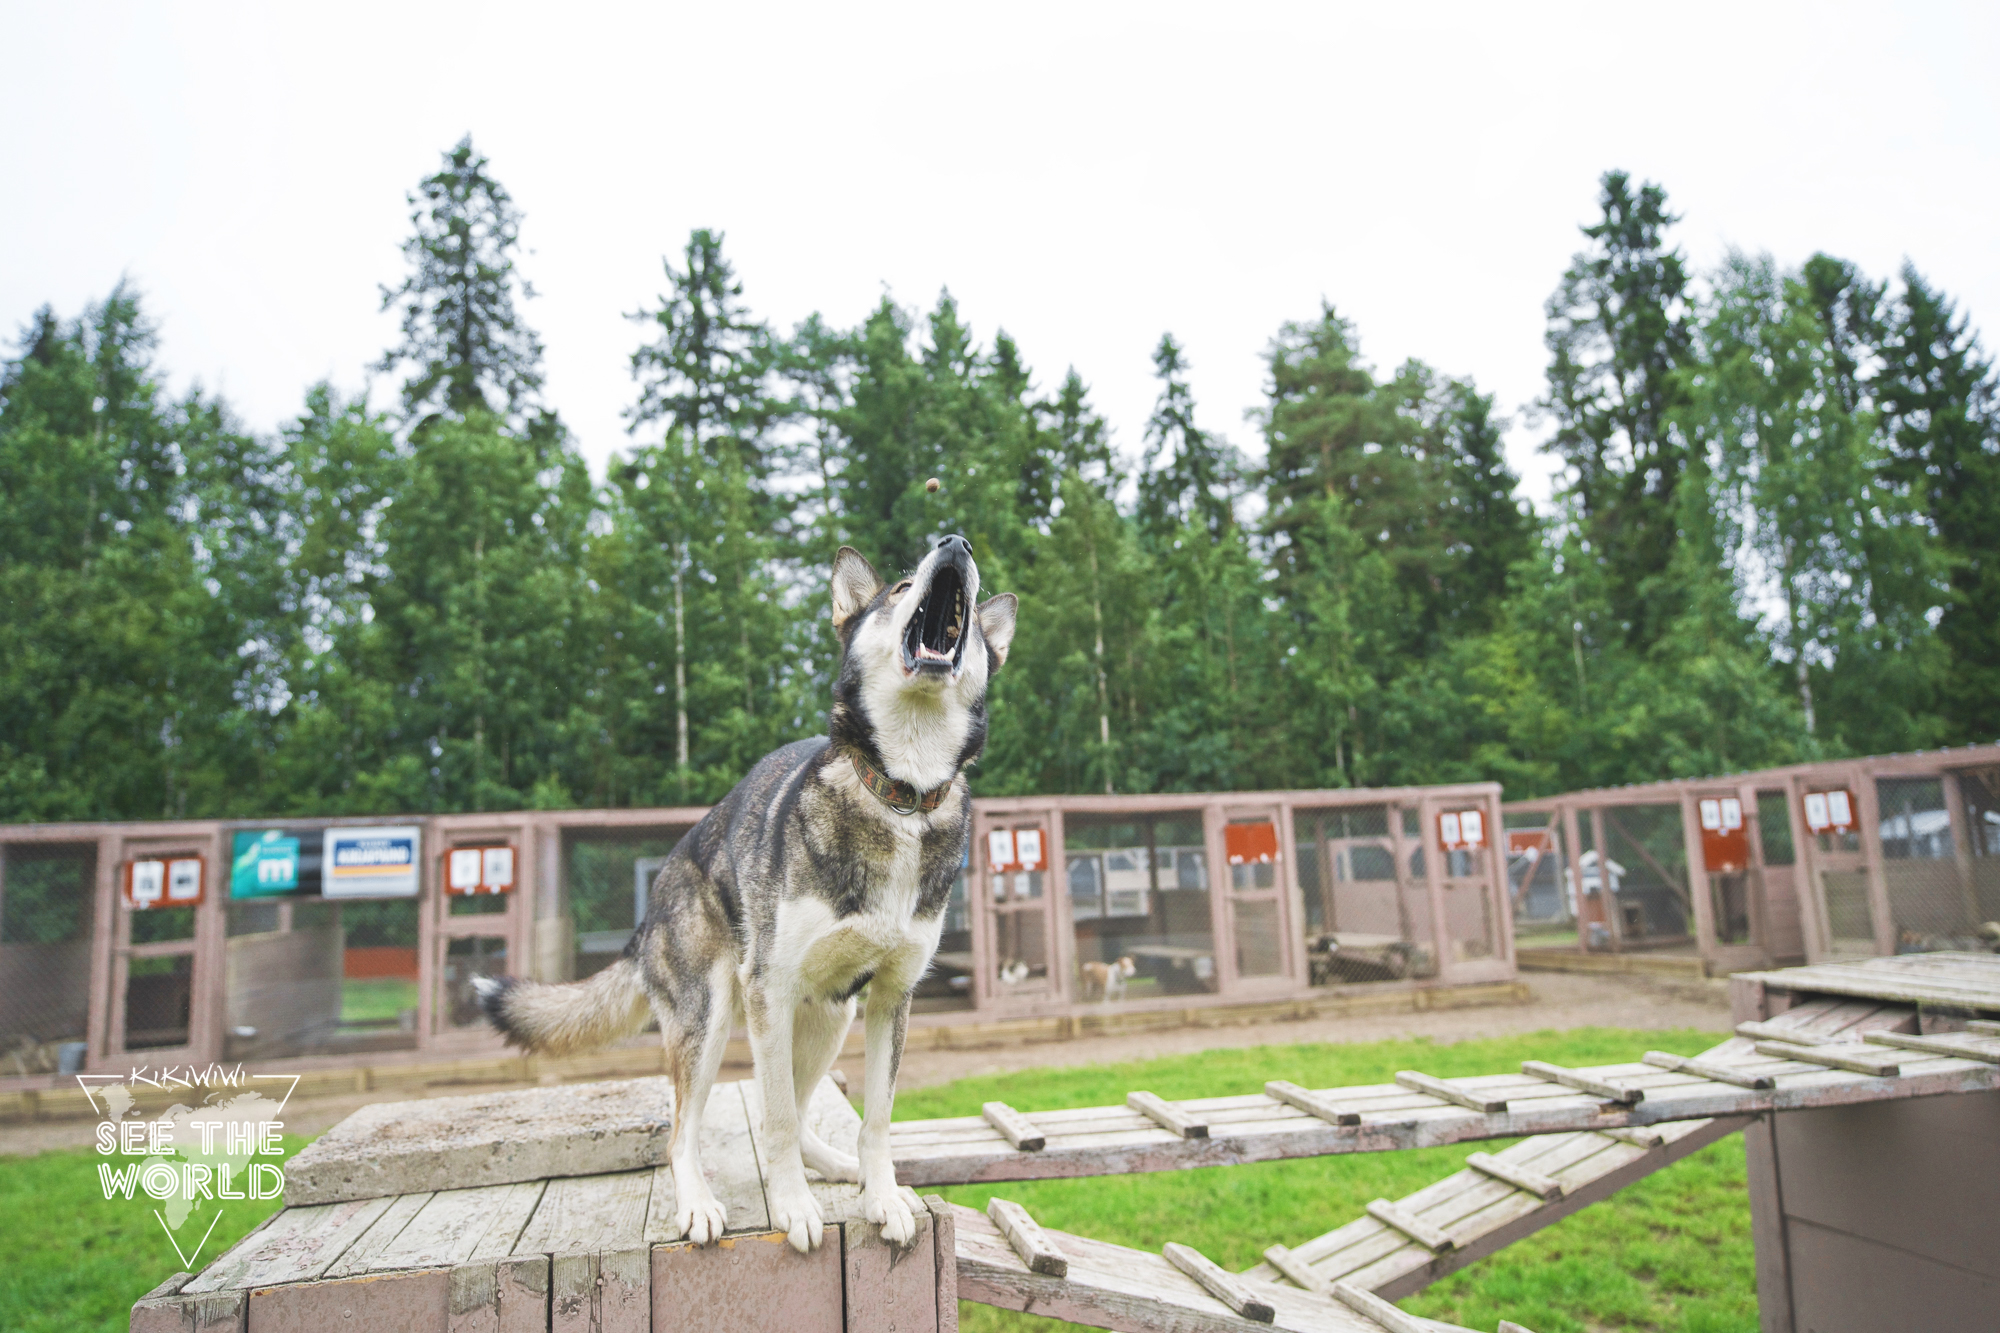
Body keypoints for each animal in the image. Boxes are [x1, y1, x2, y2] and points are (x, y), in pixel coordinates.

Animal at [472, 536, 1016, 1248]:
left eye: (973, 616)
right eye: (899, 586)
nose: (956, 543)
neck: (898, 795)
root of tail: (654, 901)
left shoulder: (890, 999)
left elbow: (875, 1120)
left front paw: (883, 1197)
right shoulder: (771, 991)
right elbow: (775, 1118)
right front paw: (791, 1209)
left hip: (829, 1018)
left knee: (798, 1110)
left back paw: (836, 1167)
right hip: (711, 1019)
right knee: (683, 1132)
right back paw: (699, 1204)